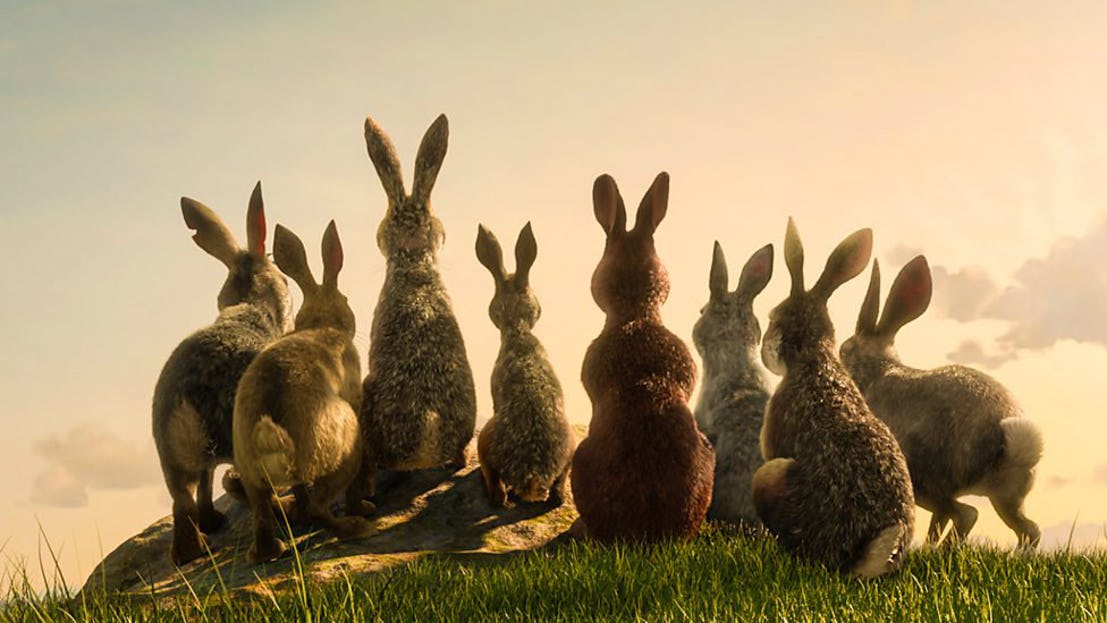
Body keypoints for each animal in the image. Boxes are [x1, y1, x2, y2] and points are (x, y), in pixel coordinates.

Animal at [151, 182, 291, 565]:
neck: (251, 306)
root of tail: (188, 404)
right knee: (252, 493)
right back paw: (273, 548)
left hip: (170, 456)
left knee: (186, 500)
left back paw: (196, 546)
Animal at [233, 221, 376, 563]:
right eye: (346, 298)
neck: (322, 324)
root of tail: (269, 439)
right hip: (344, 446)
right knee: (320, 507)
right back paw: (358, 524)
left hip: (252, 478)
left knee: (264, 514)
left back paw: (269, 552)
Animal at [839, 255, 1043, 549]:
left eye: (843, 351)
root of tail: (1008, 447)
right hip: (1006, 497)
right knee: (1028, 529)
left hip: (923, 480)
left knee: (966, 514)